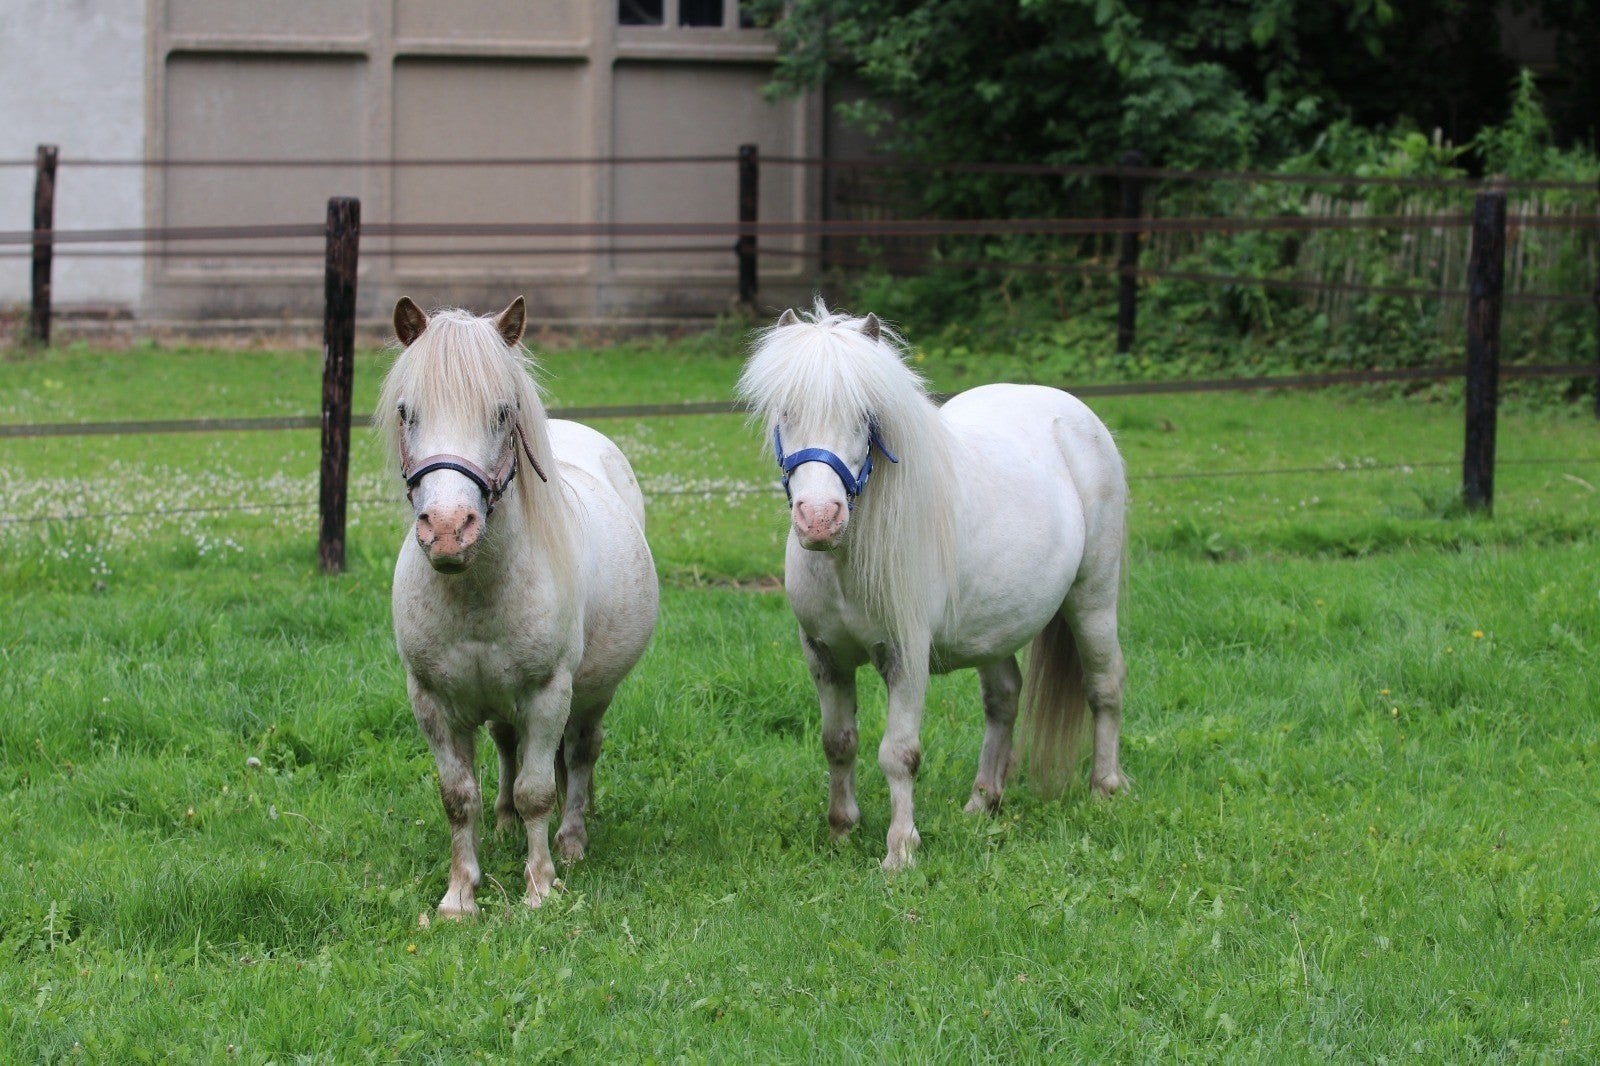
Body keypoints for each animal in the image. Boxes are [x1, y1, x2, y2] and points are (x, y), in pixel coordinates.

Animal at [377, 296, 658, 916]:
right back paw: (504, 827)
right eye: (408, 412)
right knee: (508, 748)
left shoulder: (549, 694)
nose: (449, 530)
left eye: (502, 414)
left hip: (593, 693)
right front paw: (460, 895)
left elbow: (538, 791)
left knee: (579, 754)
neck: (479, 593)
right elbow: (459, 796)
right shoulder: (431, 701)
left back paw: (572, 840)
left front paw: (540, 887)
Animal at [736, 301, 1128, 870]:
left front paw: (900, 851)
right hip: (994, 627)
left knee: (1104, 687)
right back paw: (983, 801)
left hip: (1092, 601)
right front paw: (841, 830)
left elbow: (898, 753)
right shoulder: (823, 655)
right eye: (785, 412)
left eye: (866, 418)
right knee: (1004, 698)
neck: (846, 563)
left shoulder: (906, 655)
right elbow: (838, 742)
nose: (819, 520)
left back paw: (1104, 789)